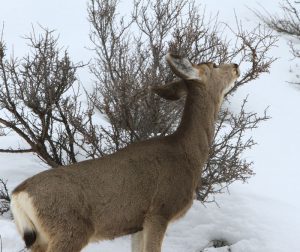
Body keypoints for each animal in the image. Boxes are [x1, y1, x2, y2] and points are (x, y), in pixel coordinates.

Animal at [9, 52, 239, 251]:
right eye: (214, 65)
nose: (236, 66)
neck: (187, 154)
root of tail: (18, 195)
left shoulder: (138, 223)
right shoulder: (159, 210)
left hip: (40, 239)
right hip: (70, 229)